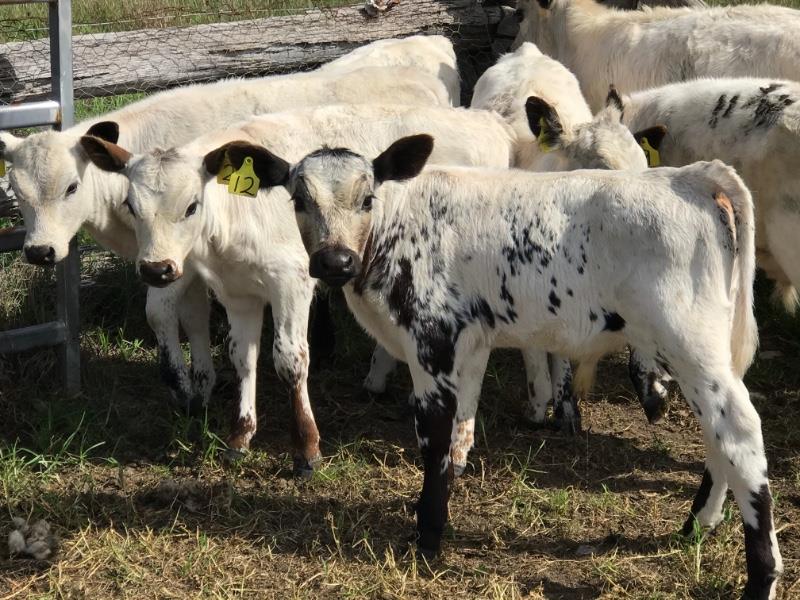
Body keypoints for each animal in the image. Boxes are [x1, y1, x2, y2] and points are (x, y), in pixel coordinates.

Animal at [76, 103, 514, 474]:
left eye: (191, 206)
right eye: (131, 207)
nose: (156, 269)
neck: (235, 215)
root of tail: (489, 121)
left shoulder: (291, 282)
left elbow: (289, 360)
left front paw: (306, 448)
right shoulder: (237, 292)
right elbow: (242, 357)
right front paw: (240, 437)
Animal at [233, 134, 781, 599]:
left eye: (367, 198)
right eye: (298, 200)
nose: (335, 262)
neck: (395, 228)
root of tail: (689, 176)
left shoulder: (432, 344)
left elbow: (434, 437)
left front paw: (427, 536)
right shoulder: (470, 345)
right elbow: (461, 428)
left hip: (688, 341)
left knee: (739, 432)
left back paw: (762, 577)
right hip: (705, 352)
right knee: (717, 435)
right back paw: (697, 524)